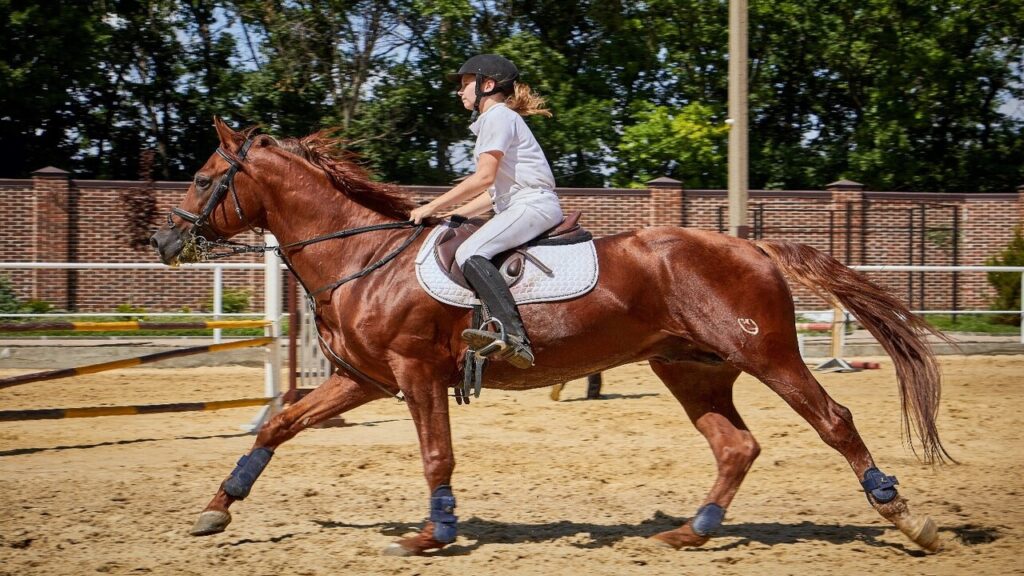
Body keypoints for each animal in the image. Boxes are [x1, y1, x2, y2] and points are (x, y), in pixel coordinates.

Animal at [149, 118, 950, 553]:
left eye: (203, 178)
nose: (163, 241)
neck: (363, 258)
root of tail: (751, 245)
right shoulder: (365, 380)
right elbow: (278, 425)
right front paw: (217, 508)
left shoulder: (415, 374)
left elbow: (436, 456)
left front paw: (433, 534)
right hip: (691, 367)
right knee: (735, 446)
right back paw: (692, 531)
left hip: (767, 354)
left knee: (834, 422)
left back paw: (909, 519)